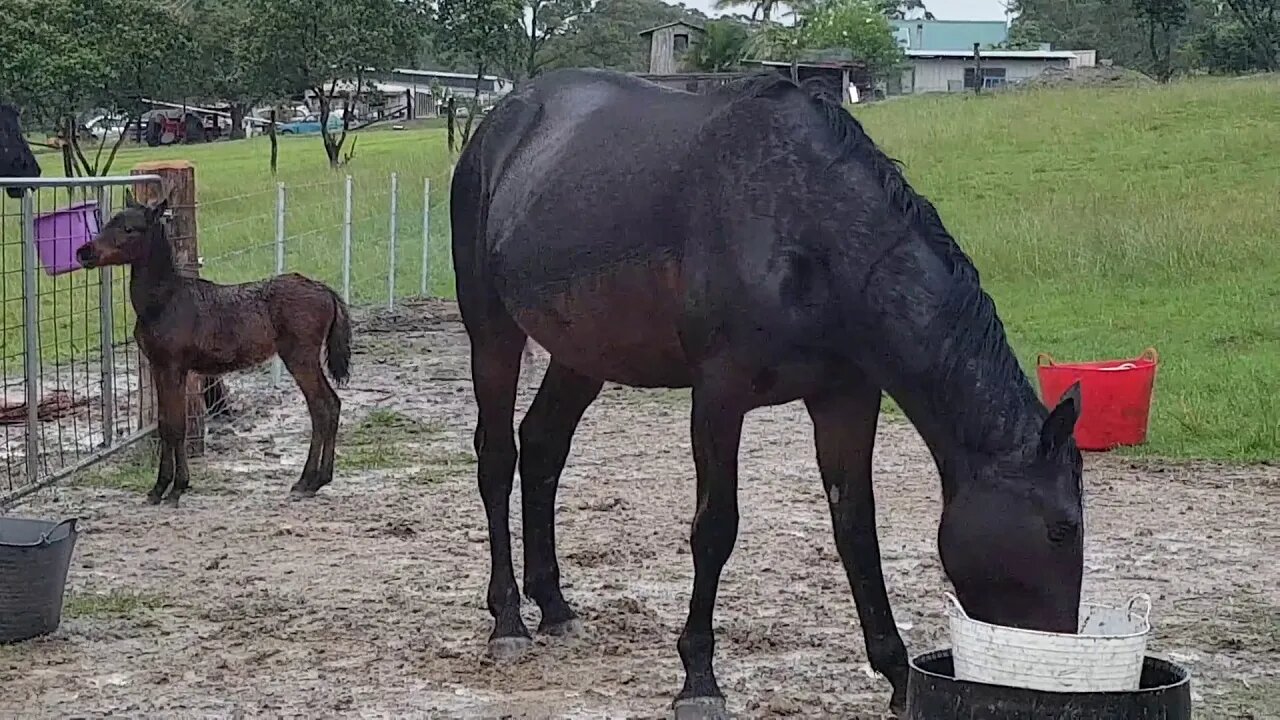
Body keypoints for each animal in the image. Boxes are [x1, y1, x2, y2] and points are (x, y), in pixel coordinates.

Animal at [450, 68, 1080, 717]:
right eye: (1062, 529)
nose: (1053, 660)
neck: (810, 227)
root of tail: (499, 123)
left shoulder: (846, 399)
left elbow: (857, 529)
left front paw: (896, 673)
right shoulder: (718, 398)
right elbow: (714, 530)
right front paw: (699, 677)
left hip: (584, 354)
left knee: (542, 447)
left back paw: (553, 606)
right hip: (492, 333)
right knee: (498, 458)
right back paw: (508, 621)